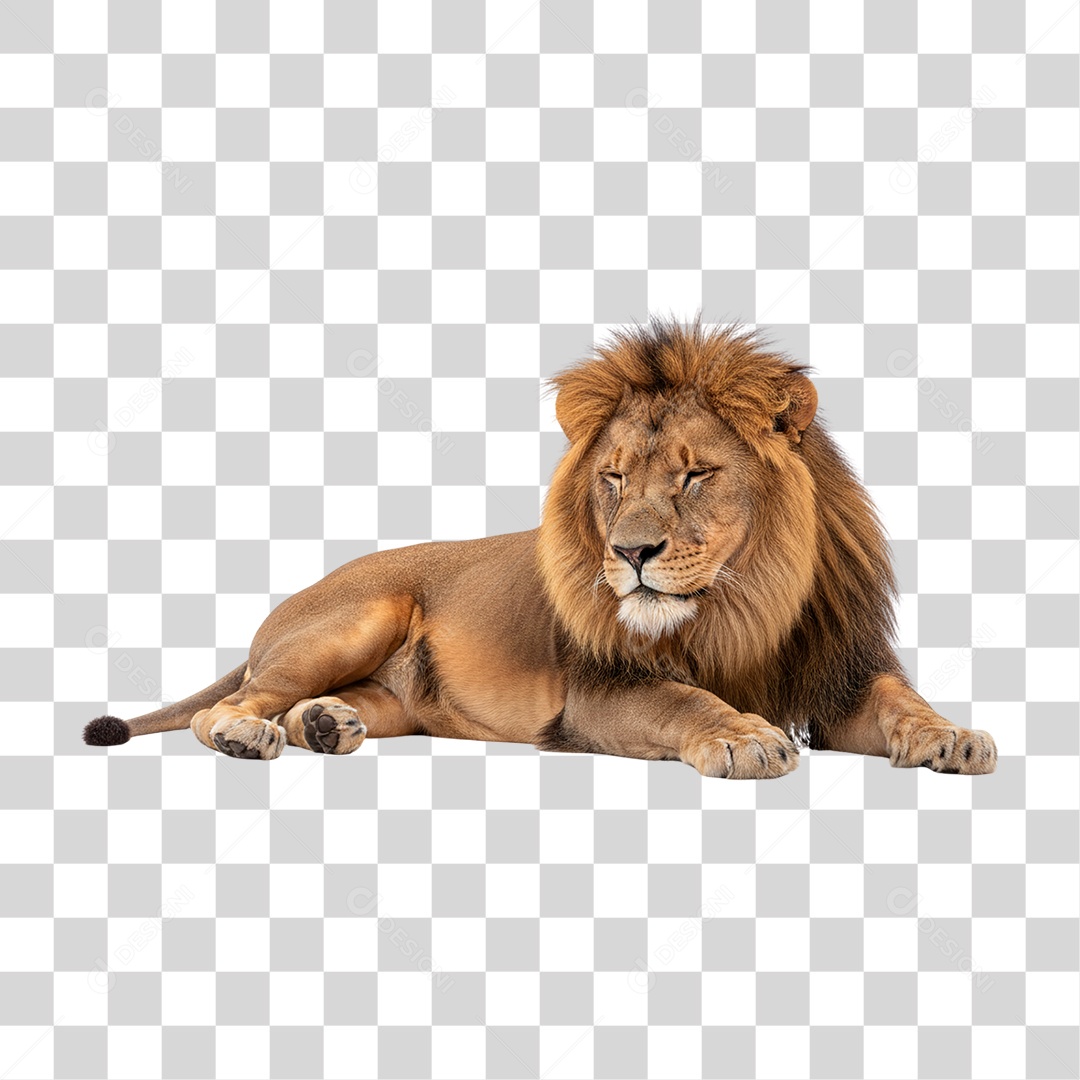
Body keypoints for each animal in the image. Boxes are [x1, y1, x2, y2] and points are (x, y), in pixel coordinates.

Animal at [84, 319, 997, 778]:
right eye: (614, 479)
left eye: (696, 474)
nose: (632, 554)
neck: (743, 602)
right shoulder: (600, 693)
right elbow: (686, 701)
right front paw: (742, 735)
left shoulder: (844, 667)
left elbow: (901, 702)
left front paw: (952, 735)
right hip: (356, 618)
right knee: (229, 705)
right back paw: (253, 735)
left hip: (394, 699)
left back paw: (325, 725)